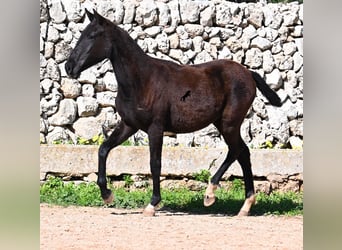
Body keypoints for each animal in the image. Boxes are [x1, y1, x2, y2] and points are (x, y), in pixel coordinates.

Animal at [65, 9, 282, 216]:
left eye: (93, 35)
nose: (69, 67)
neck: (142, 81)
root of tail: (248, 74)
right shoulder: (129, 125)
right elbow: (103, 149)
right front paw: (107, 195)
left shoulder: (155, 128)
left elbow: (155, 163)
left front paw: (152, 205)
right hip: (223, 123)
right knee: (243, 153)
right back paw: (245, 206)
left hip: (229, 123)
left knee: (236, 151)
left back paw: (210, 194)